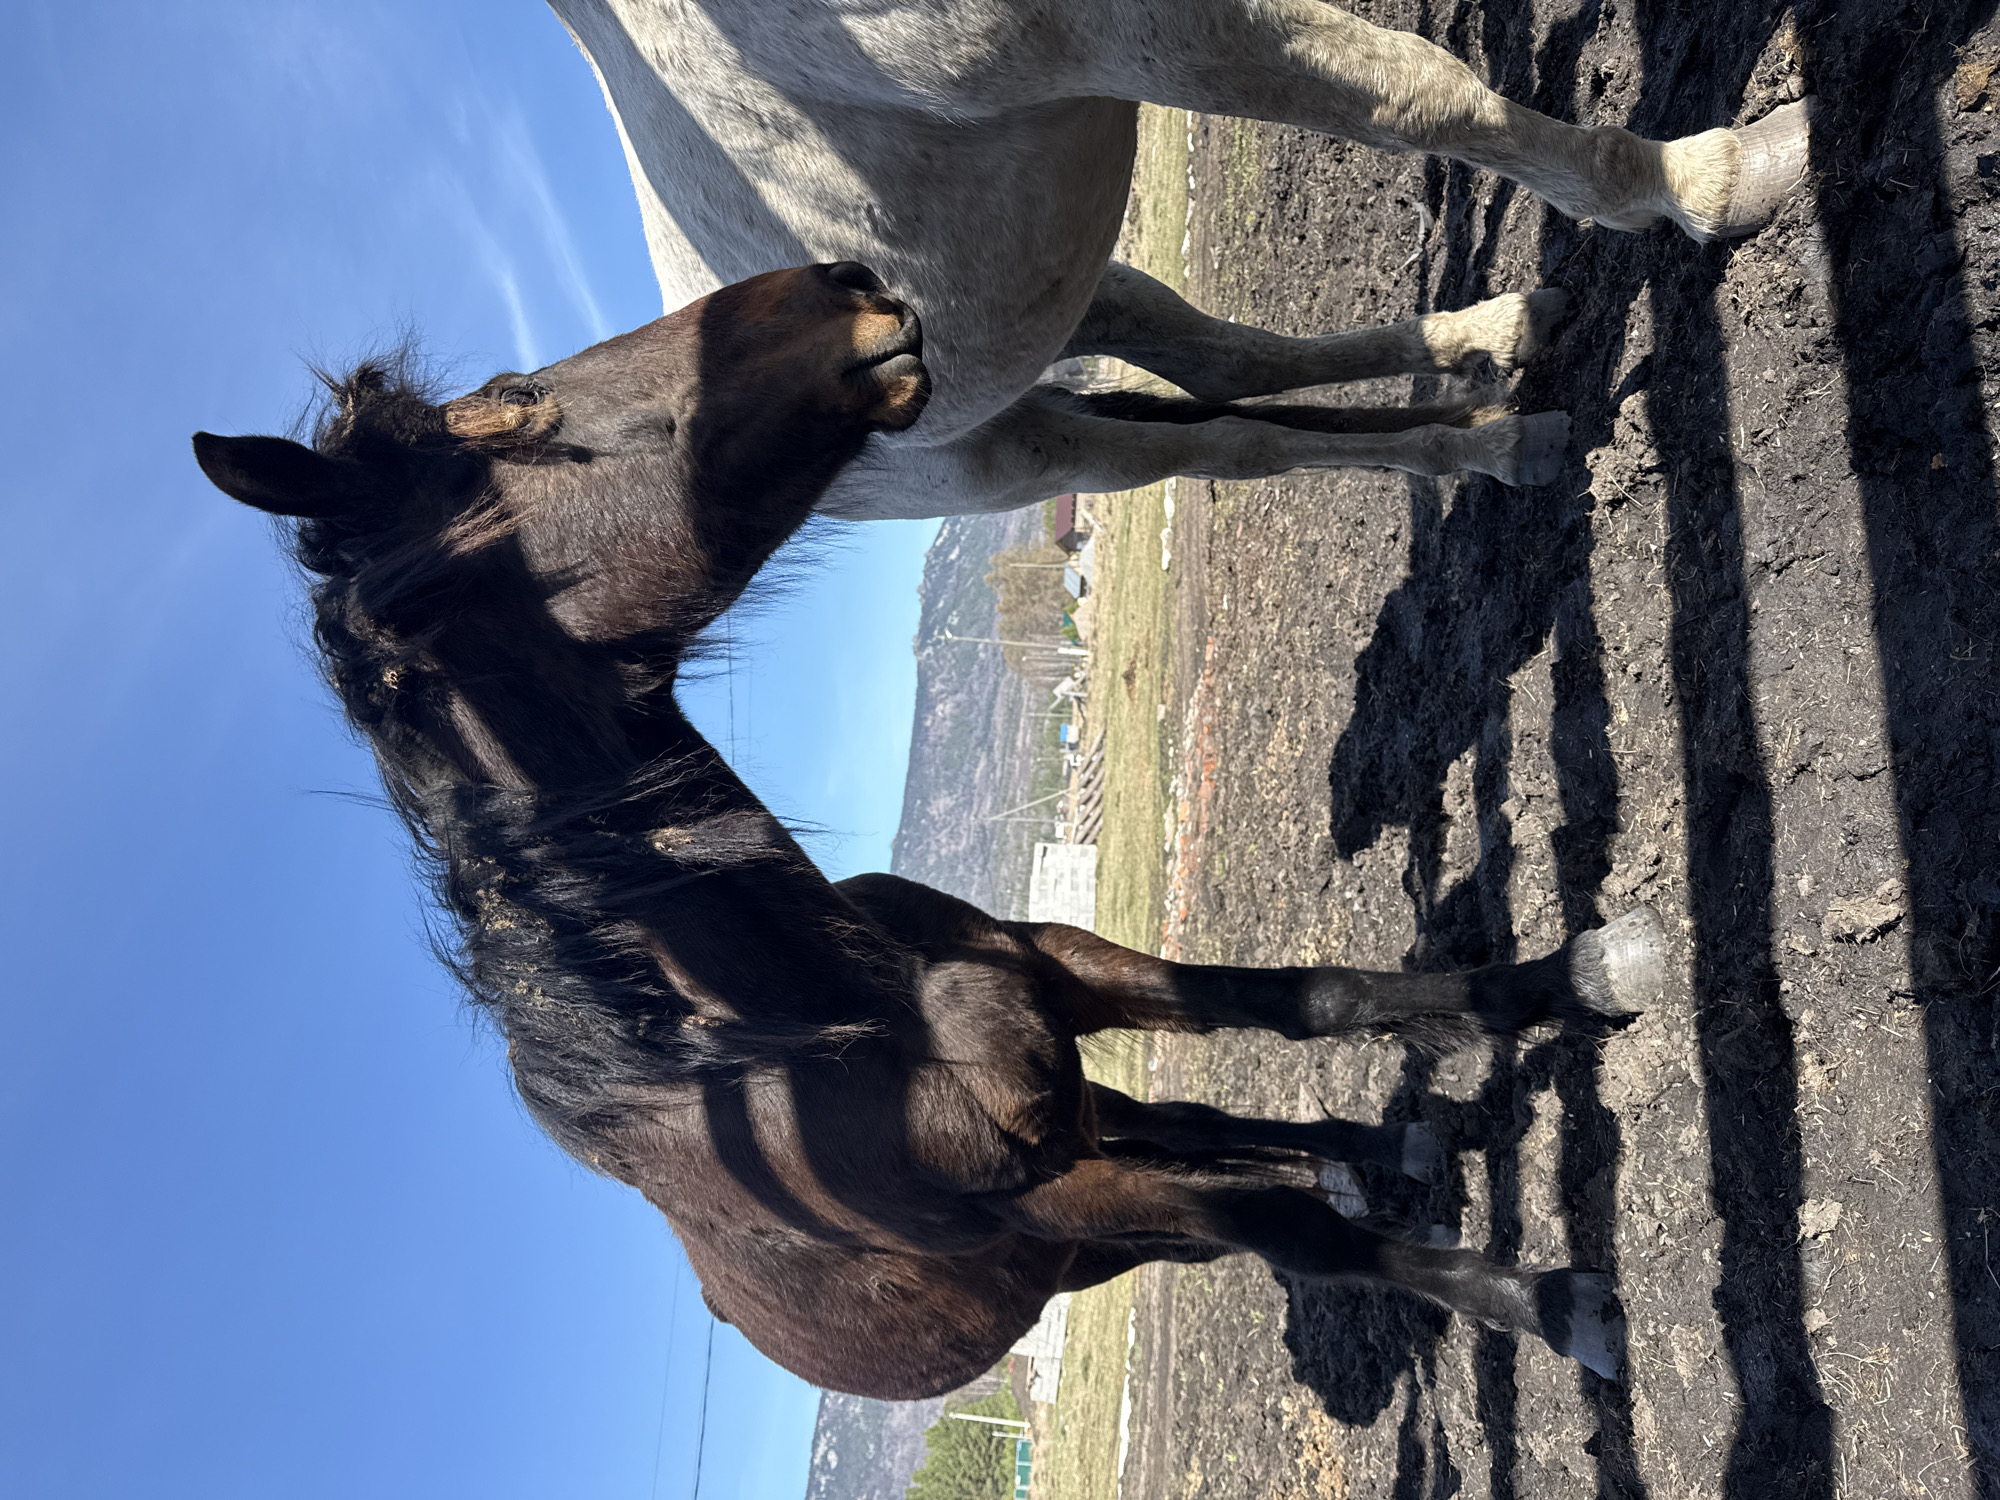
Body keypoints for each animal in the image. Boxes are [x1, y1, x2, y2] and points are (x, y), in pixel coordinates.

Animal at [192, 261, 1669, 1394]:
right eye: (522, 417)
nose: (848, 285)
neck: (816, 1033)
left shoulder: (1057, 966)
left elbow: (1301, 999)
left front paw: (1572, 976)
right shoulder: (1051, 1195)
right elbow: (1296, 1236)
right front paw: (1552, 1305)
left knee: (1194, 1117)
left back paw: (1382, 1148)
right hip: (1091, 1228)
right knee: (1211, 1167)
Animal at [544, 0, 1810, 516]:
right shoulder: (1138, 32)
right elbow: (1421, 92)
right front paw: (1710, 176)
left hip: (1071, 294)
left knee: (1225, 366)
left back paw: (1487, 366)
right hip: (1021, 458)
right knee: (1232, 443)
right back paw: (1495, 440)